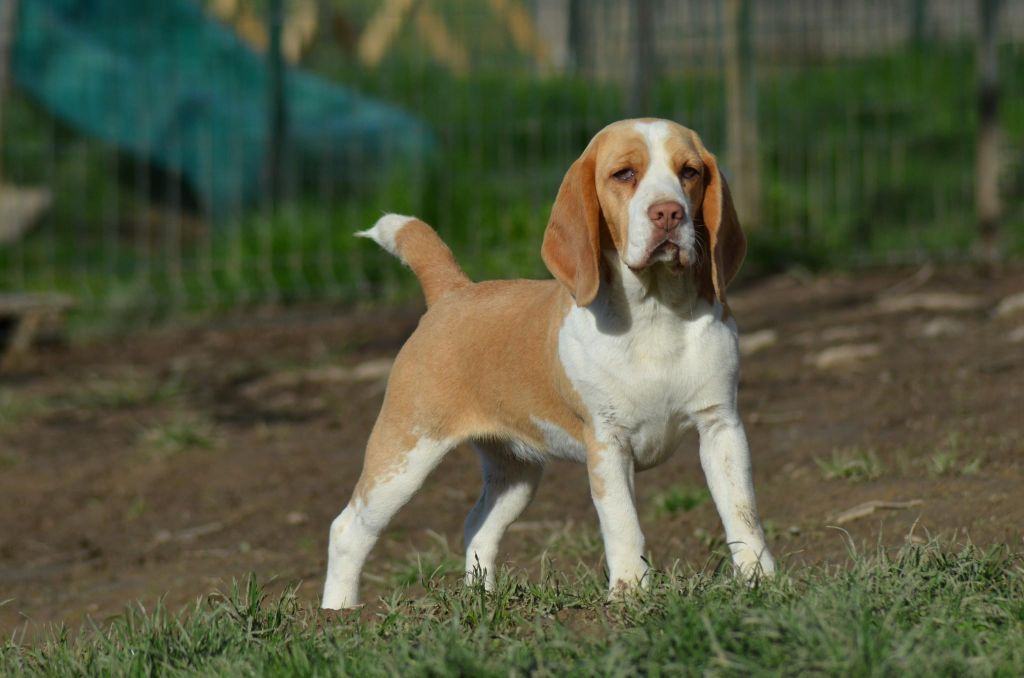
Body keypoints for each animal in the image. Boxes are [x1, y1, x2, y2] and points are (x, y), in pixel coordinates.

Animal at [323, 116, 770, 610]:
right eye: (624, 174)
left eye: (689, 172)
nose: (669, 214)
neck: (656, 313)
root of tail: (453, 292)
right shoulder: (608, 444)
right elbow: (623, 524)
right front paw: (630, 592)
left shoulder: (721, 427)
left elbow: (742, 512)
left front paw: (760, 580)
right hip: (404, 456)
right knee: (347, 529)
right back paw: (338, 613)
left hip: (515, 473)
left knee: (477, 525)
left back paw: (482, 598)